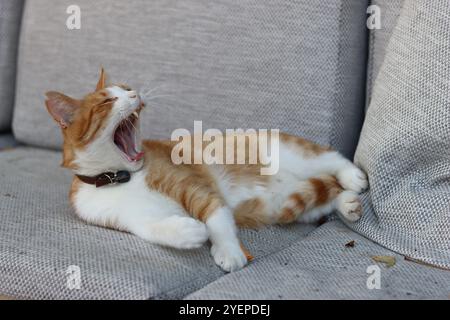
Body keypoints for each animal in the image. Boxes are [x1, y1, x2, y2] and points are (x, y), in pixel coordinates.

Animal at [45, 69, 368, 272]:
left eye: (125, 89)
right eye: (108, 100)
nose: (135, 92)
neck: (120, 178)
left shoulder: (193, 185)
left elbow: (215, 216)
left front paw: (228, 251)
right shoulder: (127, 219)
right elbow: (150, 229)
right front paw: (189, 232)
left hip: (290, 154)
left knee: (332, 159)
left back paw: (353, 177)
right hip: (286, 206)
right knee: (325, 193)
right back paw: (347, 203)